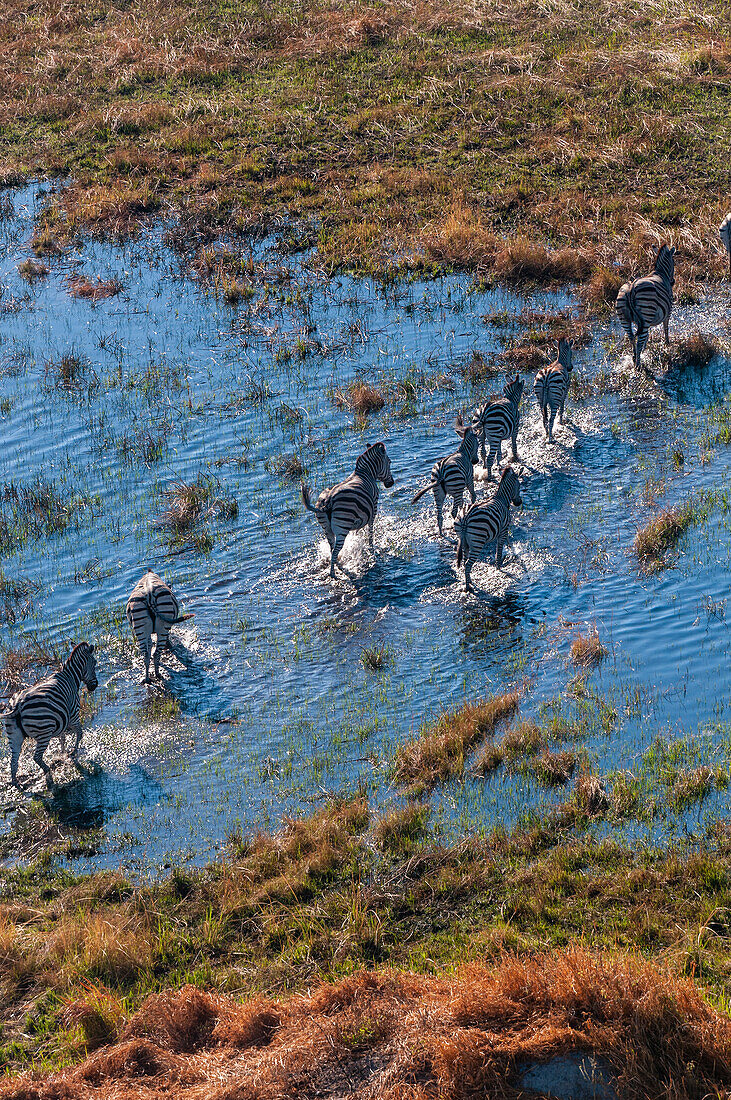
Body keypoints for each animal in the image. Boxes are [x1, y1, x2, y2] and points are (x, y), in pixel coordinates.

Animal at [3, 642, 98, 787]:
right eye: (95, 663)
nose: (95, 686)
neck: (70, 676)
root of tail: (18, 704)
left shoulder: (62, 719)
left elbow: (63, 738)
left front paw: (63, 753)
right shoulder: (74, 715)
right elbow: (80, 733)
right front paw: (73, 752)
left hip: (14, 735)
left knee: (13, 761)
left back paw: (16, 783)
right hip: (44, 731)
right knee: (36, 757)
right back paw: (47, 770)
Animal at [301, 440, 395, 576]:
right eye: (389, 462)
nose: (391, 483)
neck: (366, 473)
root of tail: (328, 500)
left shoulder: (361, 514)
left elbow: (359, 530)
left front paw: (358, 540)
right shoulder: (373, 508)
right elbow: (370, 531)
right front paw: (371, 549)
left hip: (327, 528)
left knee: (332, 549)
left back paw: (337, 566)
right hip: (342, 526)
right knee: (335, 551)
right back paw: (334, 574)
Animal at [452, 466, 521, 594]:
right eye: (519, 486)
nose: (519, 502)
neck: (502, 498)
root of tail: (466, 517)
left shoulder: (503, 530)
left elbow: (505, 544)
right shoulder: (503, 530)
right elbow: (499, 551)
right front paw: (499, 568)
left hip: (463, 540)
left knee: (465, 562)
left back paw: (469, 581)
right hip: (478, 542)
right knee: (468, 564)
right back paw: (468, 587)